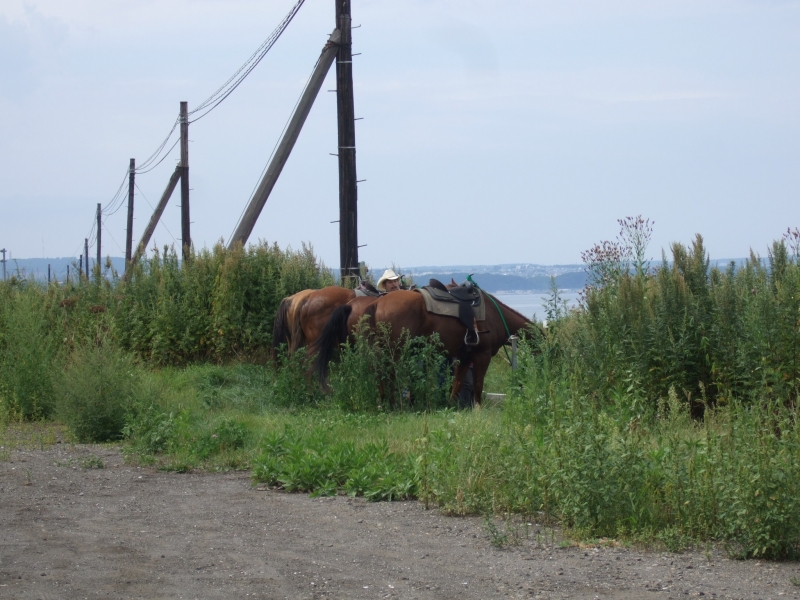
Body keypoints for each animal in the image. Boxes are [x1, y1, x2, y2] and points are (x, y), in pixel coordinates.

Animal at [314, 288, 536, 408]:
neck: (494, 315)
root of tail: (377, 303)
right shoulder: (483, 355)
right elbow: (478, 385)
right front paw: (478, 409)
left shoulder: (464, 357)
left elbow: (457, 383)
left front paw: (451, 405)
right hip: (395, 350)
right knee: (387, 373)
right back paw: (393, 403)